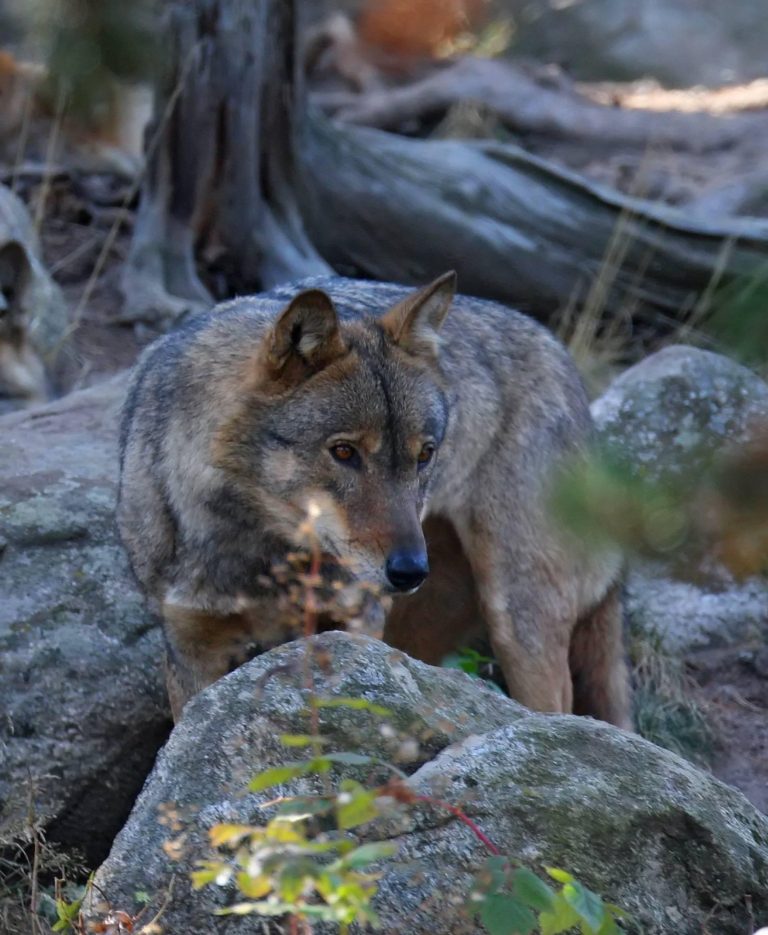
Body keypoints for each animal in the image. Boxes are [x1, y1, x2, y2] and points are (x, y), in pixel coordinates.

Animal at [118, 274, 632, 728]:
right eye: (344, 452)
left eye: (425, 454)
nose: (410, 571)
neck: (259, 552)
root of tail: (561, 356)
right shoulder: (192, 653)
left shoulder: (354, 624)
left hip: (515, 622)